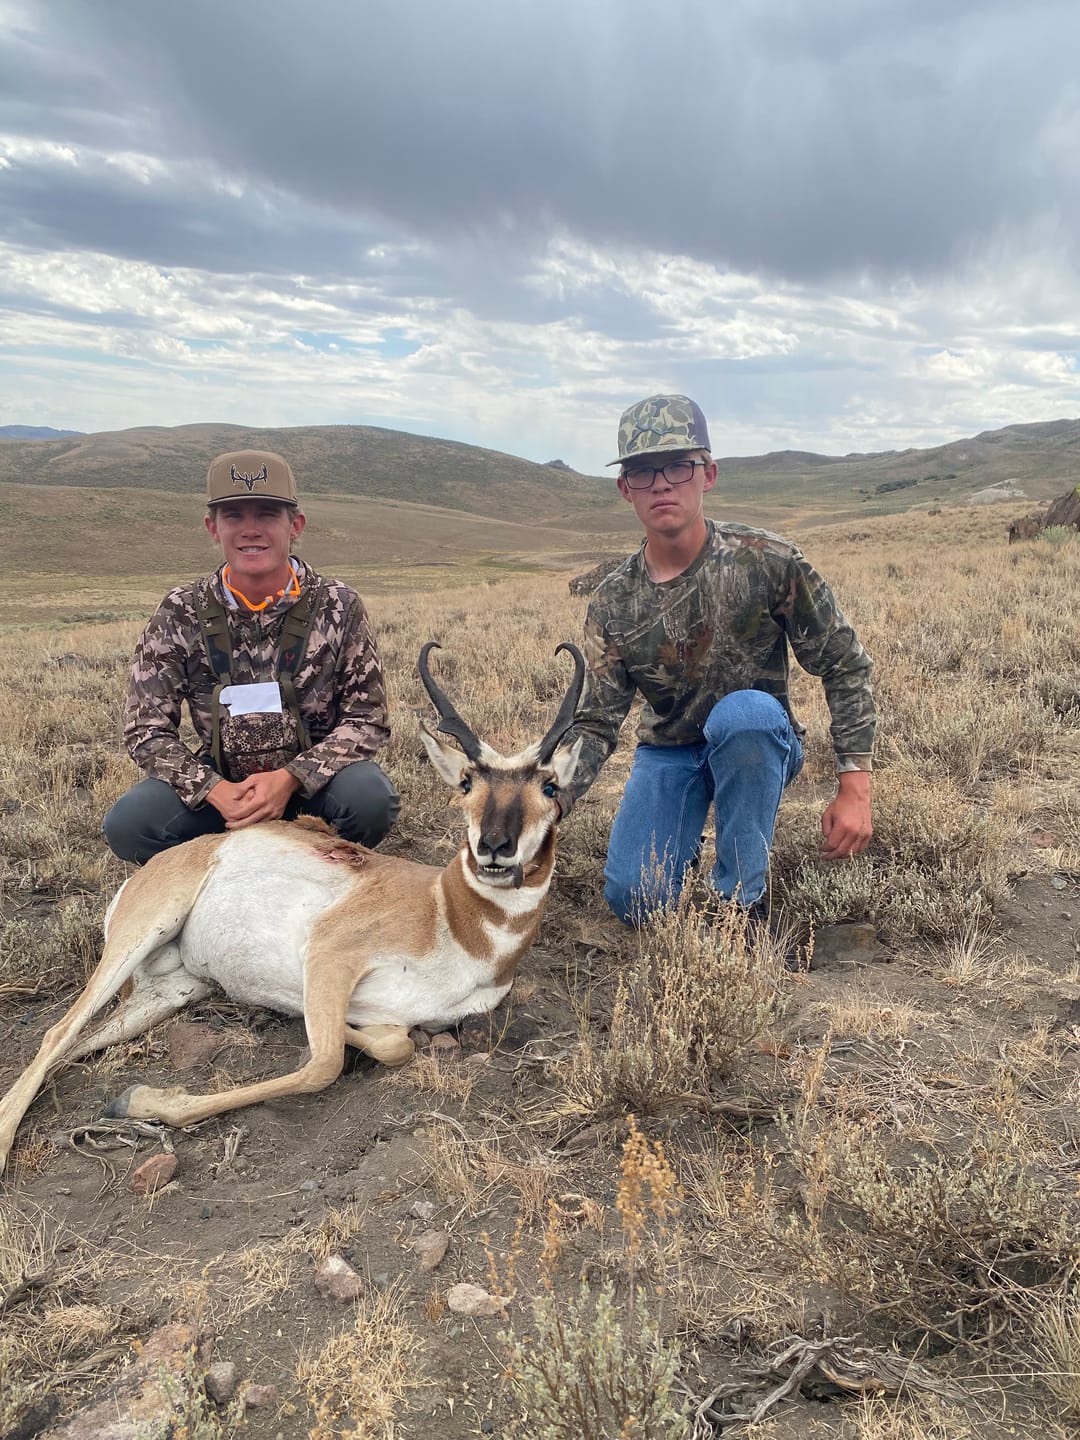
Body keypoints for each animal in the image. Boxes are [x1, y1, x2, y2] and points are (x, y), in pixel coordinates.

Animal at [0, 642, 585, 1176]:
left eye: (550, 786)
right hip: (143, 932)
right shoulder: (330, 955)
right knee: (57, 1032)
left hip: (174, 990)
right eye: (466, 783)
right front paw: (145, 1100)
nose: (495, 847)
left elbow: (395, 1043)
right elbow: (325, 1062)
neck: (451, 919)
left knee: (75, 1044)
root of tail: (169, 861)